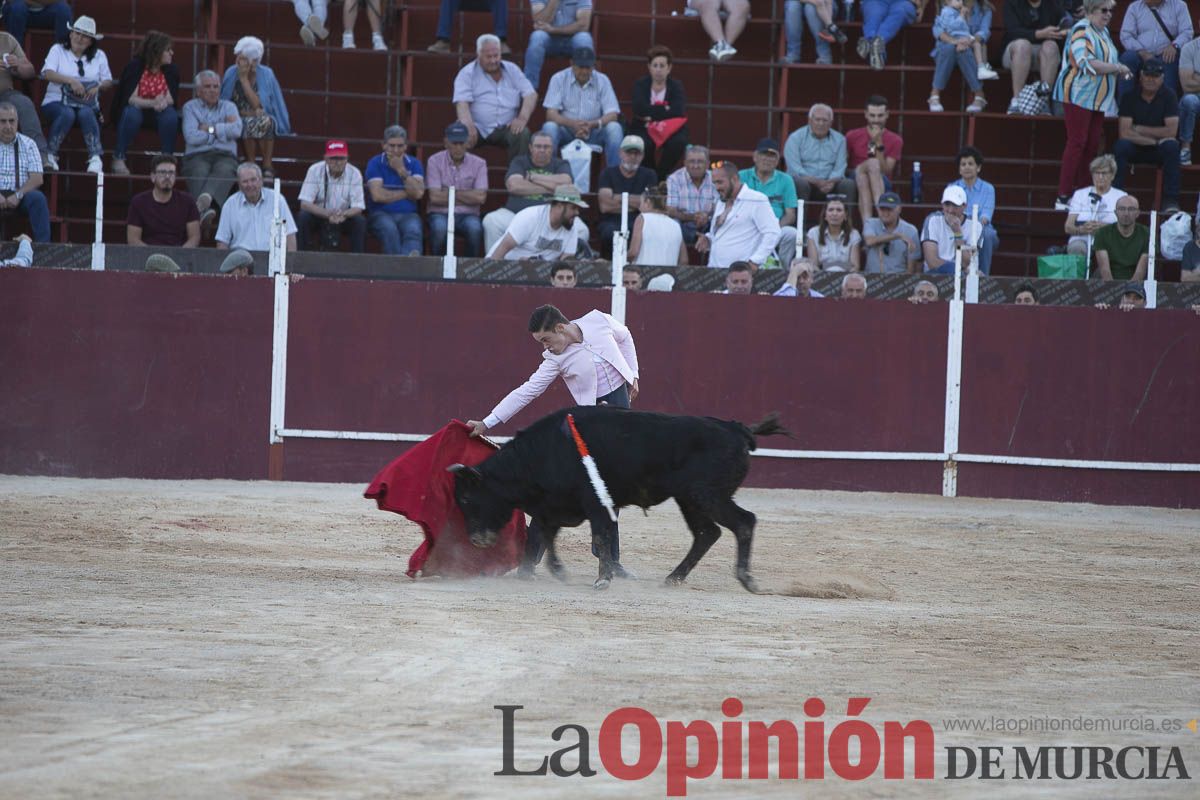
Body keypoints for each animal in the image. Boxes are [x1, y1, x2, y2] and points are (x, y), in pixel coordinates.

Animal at [446, 410, 792, 592]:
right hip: (689, 499)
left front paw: (603, 578)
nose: (476, 539)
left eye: (467, 498)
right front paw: (546, 572)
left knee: (743, 522)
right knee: (707, 533)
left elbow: (598, 535)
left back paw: (746, 579)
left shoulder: (595, 504)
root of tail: (736, 429)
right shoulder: (554, 505)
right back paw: (673, 578)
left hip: (706, 495)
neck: (540, 454)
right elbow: (544, 536)